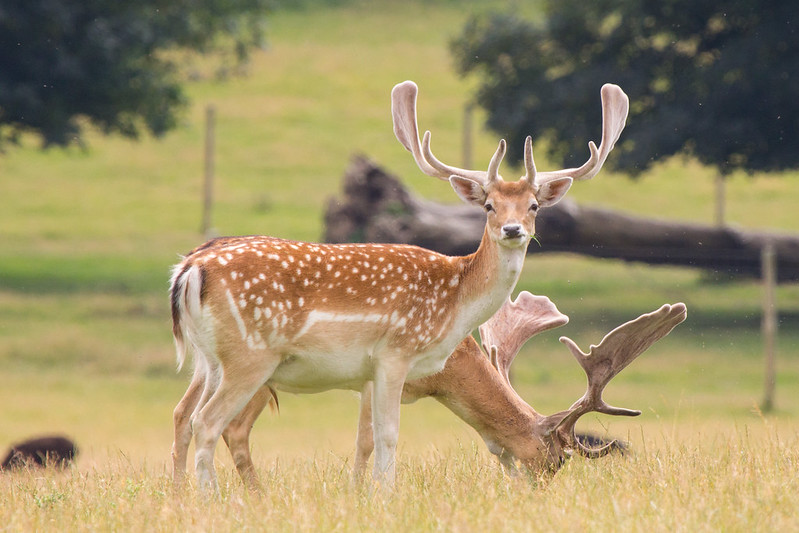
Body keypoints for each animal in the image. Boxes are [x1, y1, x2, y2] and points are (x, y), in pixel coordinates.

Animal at [170, 79, 632, 490]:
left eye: (534, 205)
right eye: (489, 205)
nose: (514, 229)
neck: (453, 312)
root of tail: (190, 269)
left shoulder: (370, 374)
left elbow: (371, 440)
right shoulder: (393, 354)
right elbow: (385, 438)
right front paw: (381, 495)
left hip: (212, 360)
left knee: (184, 414)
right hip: (251, 357)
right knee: (208, 422)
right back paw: (212, 498)